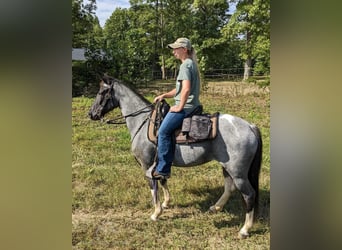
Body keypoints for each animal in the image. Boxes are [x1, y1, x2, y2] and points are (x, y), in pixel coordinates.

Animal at [87, 75, 262, 238]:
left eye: (101, 92)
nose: (91, 114)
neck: (142, 123)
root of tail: (250, 126)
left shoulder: (147, 165)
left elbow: (153, 187)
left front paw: (156, 213)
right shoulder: (160, 163)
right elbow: (163, 179)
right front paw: (166, 203)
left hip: (238, 173)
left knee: (249, 195)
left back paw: (244, 230)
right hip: (227, 167)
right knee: (229, 187)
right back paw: (215, 207)